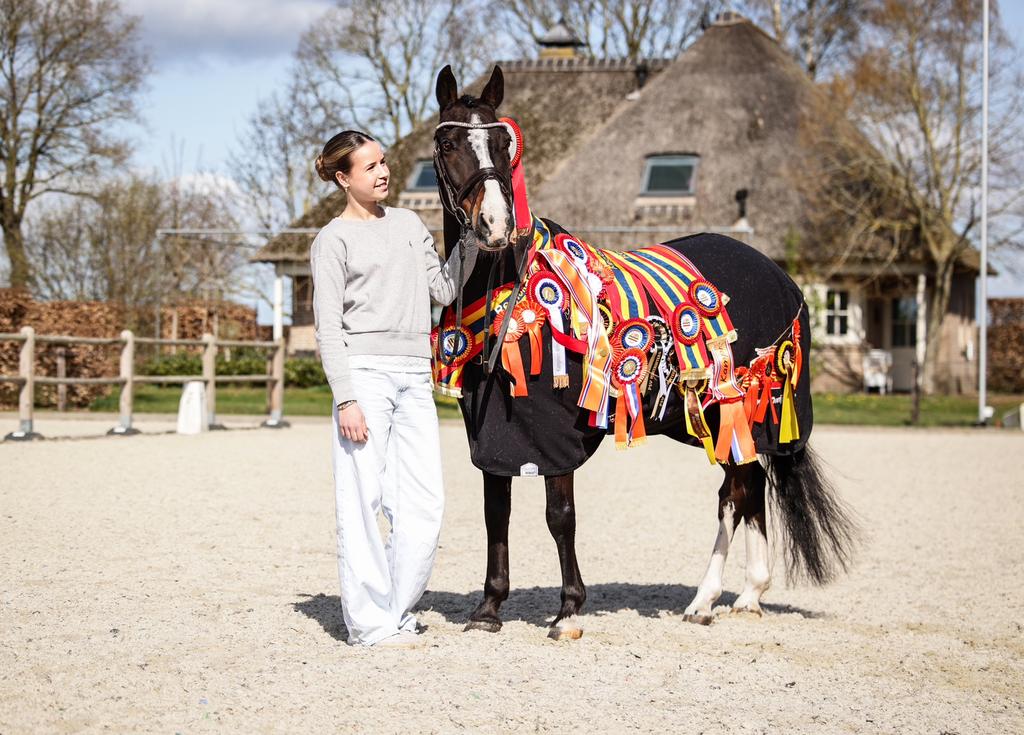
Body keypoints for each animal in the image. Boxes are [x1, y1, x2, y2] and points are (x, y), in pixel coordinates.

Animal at [430, 64, 857, 639]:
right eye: (449, 142)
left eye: (503, 144)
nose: (494, 225)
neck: (511, 292)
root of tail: (780, 275)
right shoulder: (495, 435)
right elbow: (496, 512)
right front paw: (489, 608)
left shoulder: (552, 435)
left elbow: (559, 515)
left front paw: (569, 611)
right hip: (724, 418)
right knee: (750, 487)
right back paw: (748, 594)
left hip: (742, 405)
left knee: (734, 495)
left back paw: (705, 599)